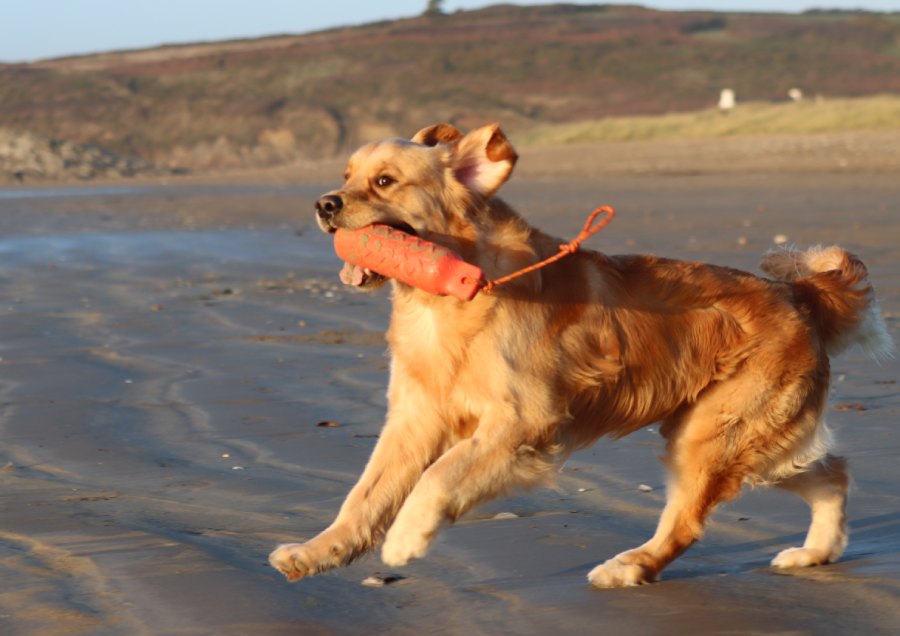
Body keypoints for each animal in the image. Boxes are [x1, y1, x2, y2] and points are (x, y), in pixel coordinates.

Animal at [269, 123, 892, 587]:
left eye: (384, 181)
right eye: (345, 176)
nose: (324, 204)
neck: (447, 300)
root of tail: (799, 293)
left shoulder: (525, 419)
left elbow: (443, 473)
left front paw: (406, 537)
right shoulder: (413, 419)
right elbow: (363, 496)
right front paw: (316, 552)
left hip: (714, 434)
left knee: (689, 523)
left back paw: (630, 566)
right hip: (749, 439)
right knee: (833, 472)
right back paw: (815, 552)